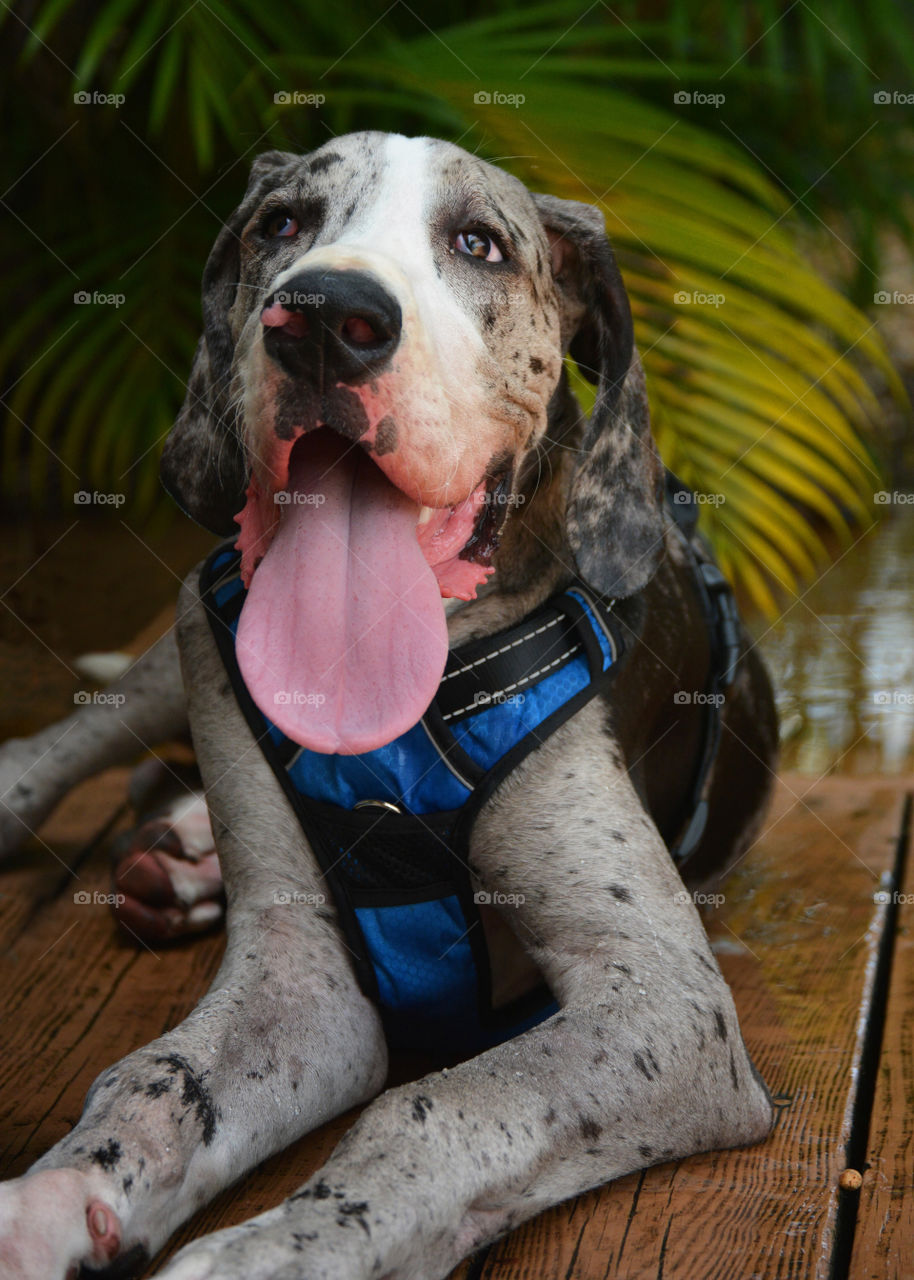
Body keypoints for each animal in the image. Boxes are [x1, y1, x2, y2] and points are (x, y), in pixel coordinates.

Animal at [0, 132, 778, 1280]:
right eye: (281, 223)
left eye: (479, 244)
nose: (326, 316)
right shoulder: (299, 974)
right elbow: (155, 1078)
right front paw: (50, 1197)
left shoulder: (664, 1005)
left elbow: (436, 1108)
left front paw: (267, 1255)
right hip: (194, 620)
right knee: (74, 740)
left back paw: (182, 856)